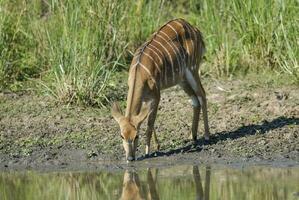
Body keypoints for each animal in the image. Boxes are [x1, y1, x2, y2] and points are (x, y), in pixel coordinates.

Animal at [111, 18, 210, 162]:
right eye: (121, 135)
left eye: (136, 136)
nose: (130, 158)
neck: (139, 73)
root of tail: (195, 29)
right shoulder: (146, 99)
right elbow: (149, 120)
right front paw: (157, 146)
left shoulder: (156, 95)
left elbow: (150, 124)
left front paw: (148, 151)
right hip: (182, 78)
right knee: (195, 99)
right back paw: (192, 136)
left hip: (192, 69)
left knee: (202, 94)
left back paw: (207, 135)